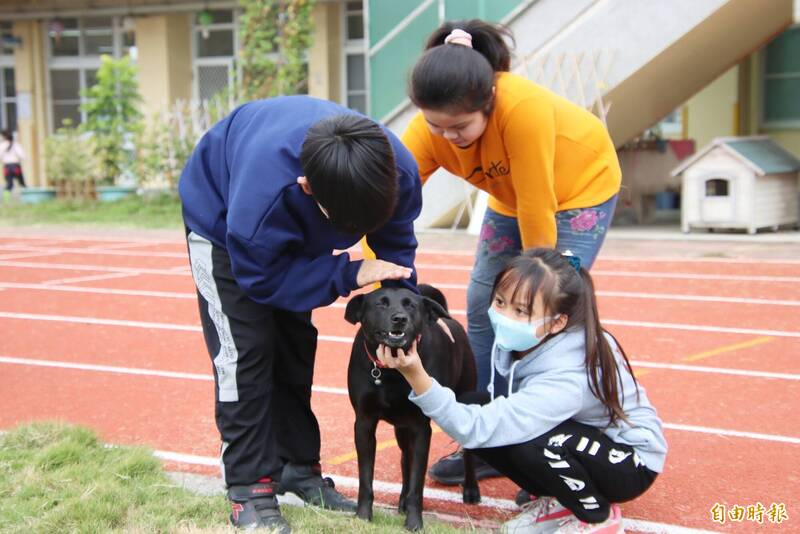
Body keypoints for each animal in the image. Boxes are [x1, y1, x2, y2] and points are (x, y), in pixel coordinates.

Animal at [344, 284, 482, 532]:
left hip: (465, 400)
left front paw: (414, 522)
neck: (391, 371)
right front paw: (363, 516)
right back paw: (401, 500)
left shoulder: (420, 427)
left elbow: (418, 484)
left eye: (411, 305)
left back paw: (470, 489)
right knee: (405, 459)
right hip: (401, 427)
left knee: (468, 451)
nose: (399, 318)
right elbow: (366, 479)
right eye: (381, 303)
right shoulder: (364, 424)